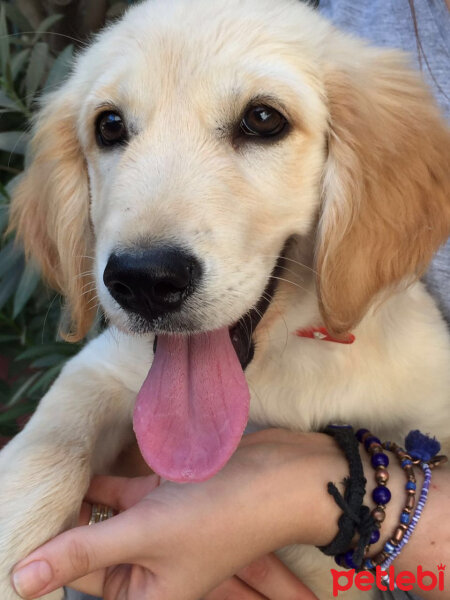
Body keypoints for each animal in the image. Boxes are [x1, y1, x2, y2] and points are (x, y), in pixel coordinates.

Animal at [0, 1, 450, 600]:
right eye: (109, 126)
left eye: (262, 119)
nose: (144, 280)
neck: (283, 362)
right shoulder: (102, 367)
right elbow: (50, 441)